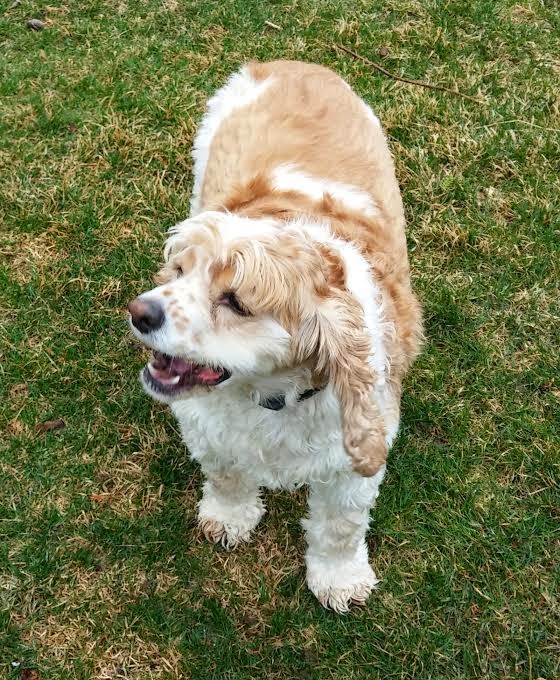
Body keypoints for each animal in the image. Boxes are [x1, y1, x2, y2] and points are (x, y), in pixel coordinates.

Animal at [128, 60, 423, 612]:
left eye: (236, 302)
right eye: (179, 271)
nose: (140, 312)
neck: (271, 394)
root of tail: (294, 65)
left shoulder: (352, 461)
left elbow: (340, 527)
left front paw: (340, 580)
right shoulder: (208, 428)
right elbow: (226, 476)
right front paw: (228, 520)